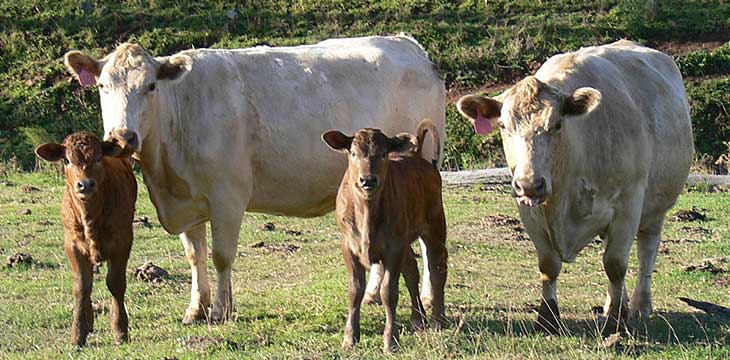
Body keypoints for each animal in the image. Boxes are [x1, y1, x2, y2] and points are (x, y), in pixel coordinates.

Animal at [34, 132, 136, 346]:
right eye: (67, 160)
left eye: (98, 158)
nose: (85, 184)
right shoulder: (73, 245)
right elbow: (81, 287)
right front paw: (78, 334)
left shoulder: (122, 241)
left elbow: (115, 283)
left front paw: (120, 329)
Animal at [64, 35, 444, 324]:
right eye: (102, 86)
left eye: (151, 86)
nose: (122, 137)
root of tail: (409, 45)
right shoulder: (186, 200)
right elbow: (195, 255)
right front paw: (196, 309)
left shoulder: (227, 196)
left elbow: (221, 255)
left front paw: (221, 310)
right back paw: (373, 295)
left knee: (428, 242)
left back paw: (425, 296)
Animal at [322, 119, 446, 352]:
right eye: (353, 153)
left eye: (384, 154)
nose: (368, 180)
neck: (366, 214)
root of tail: (417, 155)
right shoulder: (348, 246)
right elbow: (355, 290)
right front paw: (350, 338)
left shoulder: (393, 247)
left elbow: (389, 292)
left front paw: (390, 340)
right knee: (412, 271)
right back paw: (418, 319)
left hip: (434, 226)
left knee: (437, 269)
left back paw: (438, 320)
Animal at [458, 40, 692, 334]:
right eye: (502, 125)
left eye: (557, 124)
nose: (530, 184)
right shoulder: (529, 211)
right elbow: (549, 265)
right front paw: (548, 318)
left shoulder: (628, 203)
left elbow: (616, 263)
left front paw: (617, 319)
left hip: (657, 206)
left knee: (646, 249)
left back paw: (639, 305)